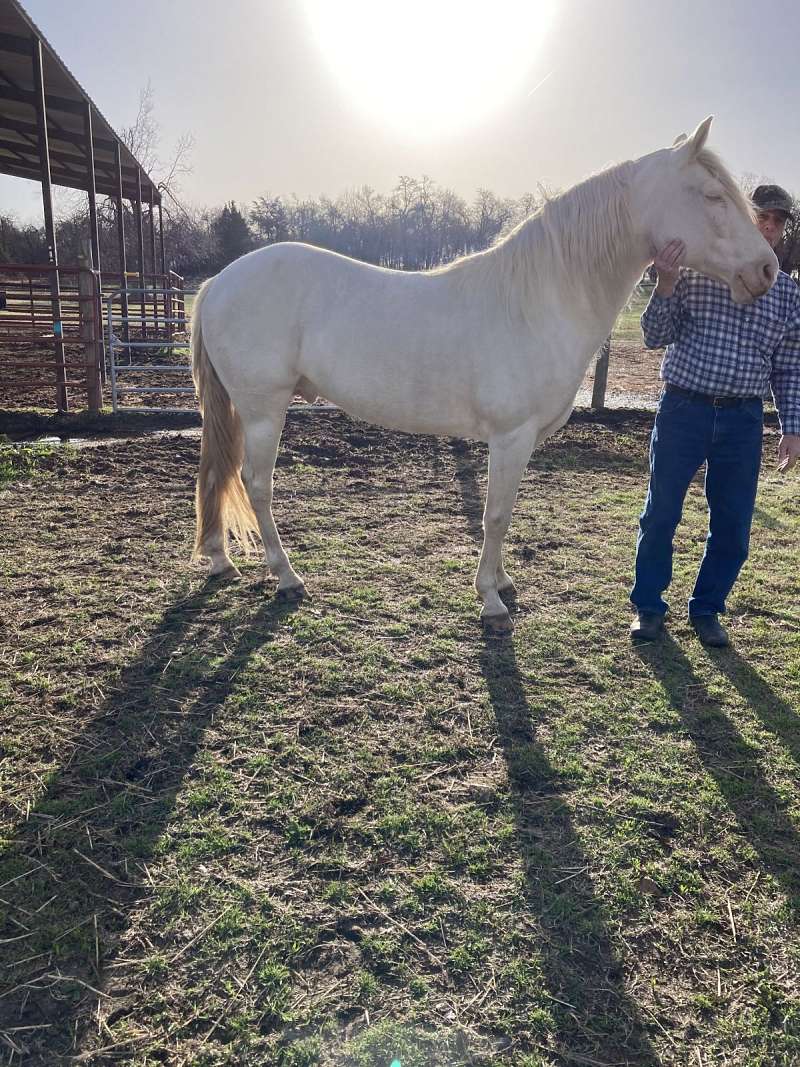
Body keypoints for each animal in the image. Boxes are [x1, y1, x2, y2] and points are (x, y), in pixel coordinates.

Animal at [189, 116, 776, 631]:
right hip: (264, 411)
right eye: (713, 196)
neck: (539, 300)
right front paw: (491, 601)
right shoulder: (509, 436)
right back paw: (287, 577)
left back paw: (221, 561)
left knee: (218, 473)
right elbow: (495, 514)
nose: (767, 269)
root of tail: (218, 282)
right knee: (256, 483)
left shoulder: (522, 441)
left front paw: (503, 583)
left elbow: (505, 511)